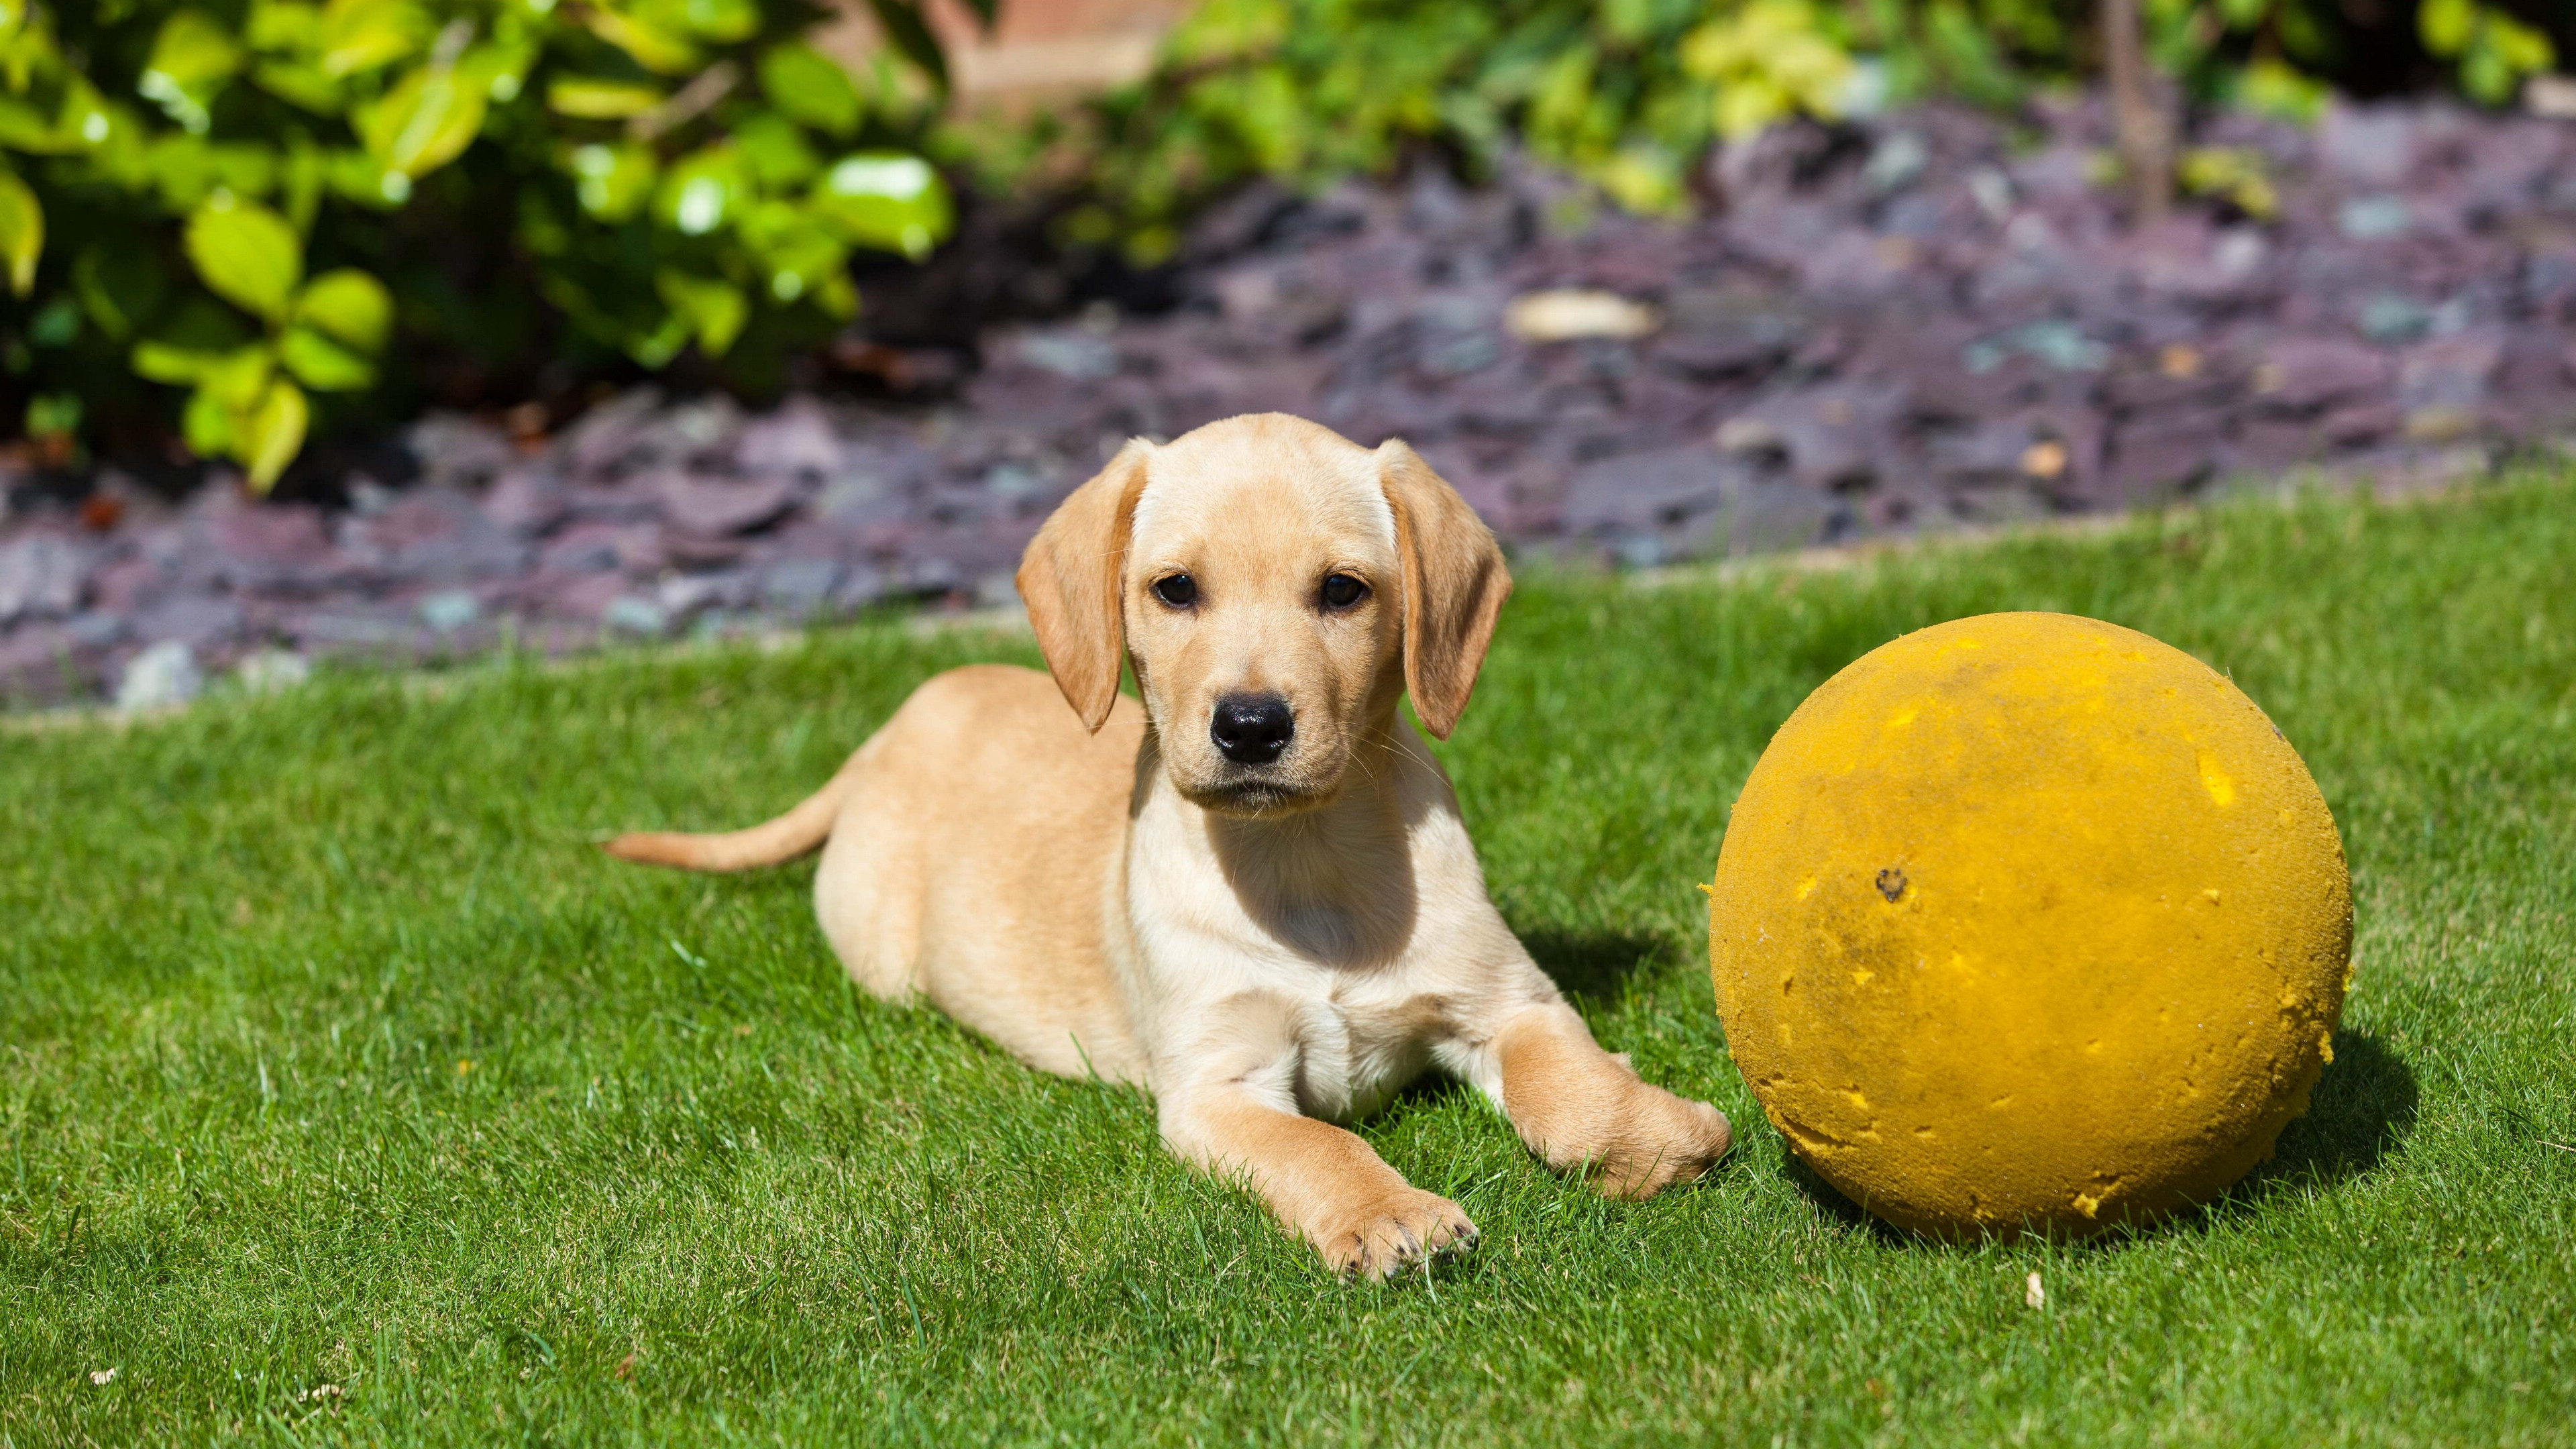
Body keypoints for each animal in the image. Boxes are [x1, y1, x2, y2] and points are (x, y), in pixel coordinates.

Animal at [605, 412, 1731, 1268]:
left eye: (1344, 590)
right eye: (1175, 589)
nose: (1252, 727)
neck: (1303, 861)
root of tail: (886, 735)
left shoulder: (1508, 999)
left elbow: (1568, 1086)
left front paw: (1658, 1136)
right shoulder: (1217, 1087)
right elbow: (1318, 1150)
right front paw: (1388, 1215)